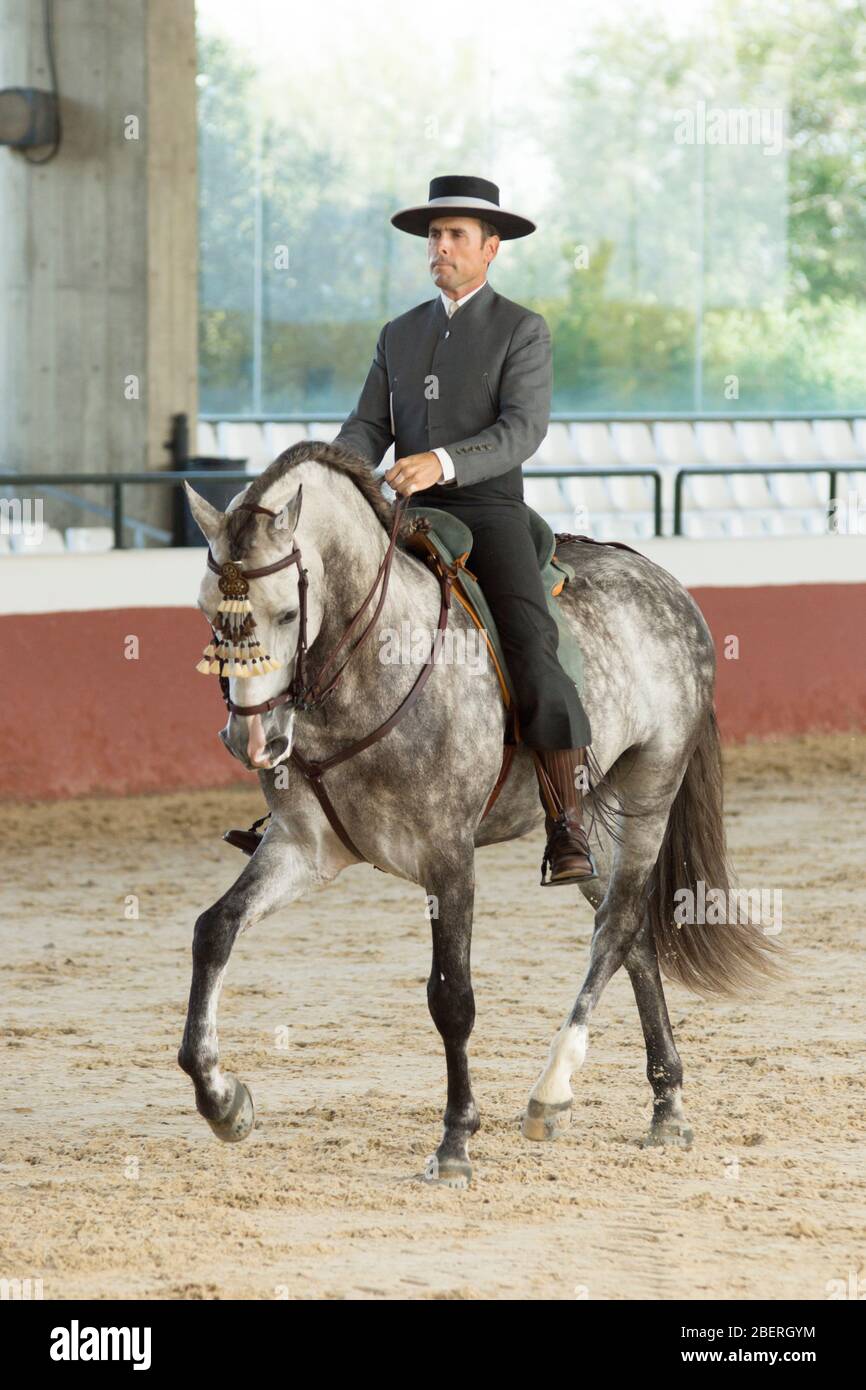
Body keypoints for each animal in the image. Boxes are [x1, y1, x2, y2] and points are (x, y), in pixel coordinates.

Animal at [178, 441, 779, 1186]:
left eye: (287, 614)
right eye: (208, 610)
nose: (251, 740)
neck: (368, 669)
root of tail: (665, 583)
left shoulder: (448, 857)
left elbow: (451, 998)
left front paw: (456, 1141)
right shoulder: (301, 849)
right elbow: (214, 931)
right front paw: (222, 1100)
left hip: (649, 793)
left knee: (615, 930)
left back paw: (552, 1093)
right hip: (589, 821)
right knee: (635, 935)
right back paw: (666, 1105)